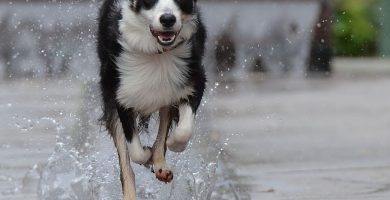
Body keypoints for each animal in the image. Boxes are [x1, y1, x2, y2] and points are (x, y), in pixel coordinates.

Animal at [97, 0, 207, 198]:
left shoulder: (194, 79)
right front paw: (146, 155)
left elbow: (183, 130)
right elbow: (134, 149)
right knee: (125, 165)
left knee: (162, 132)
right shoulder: (122, 94)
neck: (157, 52)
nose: (168, 19)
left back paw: (161, 166)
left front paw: (174, 144)